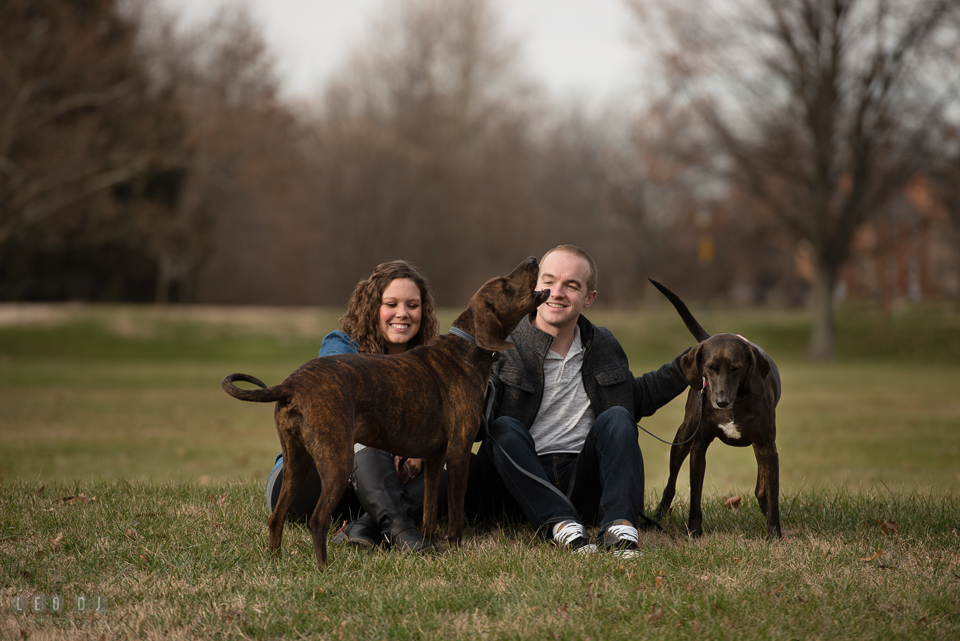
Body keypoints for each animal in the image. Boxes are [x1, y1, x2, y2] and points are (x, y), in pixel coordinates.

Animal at [219, 258, 548, 568]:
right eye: (505, 283)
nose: (533, 258)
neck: (467, 348)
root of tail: (290, 385)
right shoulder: (458, 453)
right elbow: (455, 516)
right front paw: (455, 551)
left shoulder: (435, 459)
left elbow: (429, 511)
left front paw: (428, 545)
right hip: (337, 459)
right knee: (317, 520)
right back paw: (323, 571)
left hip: (296, 462)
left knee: (276, 518)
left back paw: (275, 561)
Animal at [648, 278, 784, 536]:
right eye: (710, 367)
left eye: (736, 368)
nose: (720, 401)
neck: (737, 401)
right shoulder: (698, 445)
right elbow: (695, 493)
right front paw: (694, 530)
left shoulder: (767, 446)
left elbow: (772, 492)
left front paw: (774, 533)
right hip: (683, 436)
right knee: (670, 483)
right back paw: (658, 515)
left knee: (762, 487)